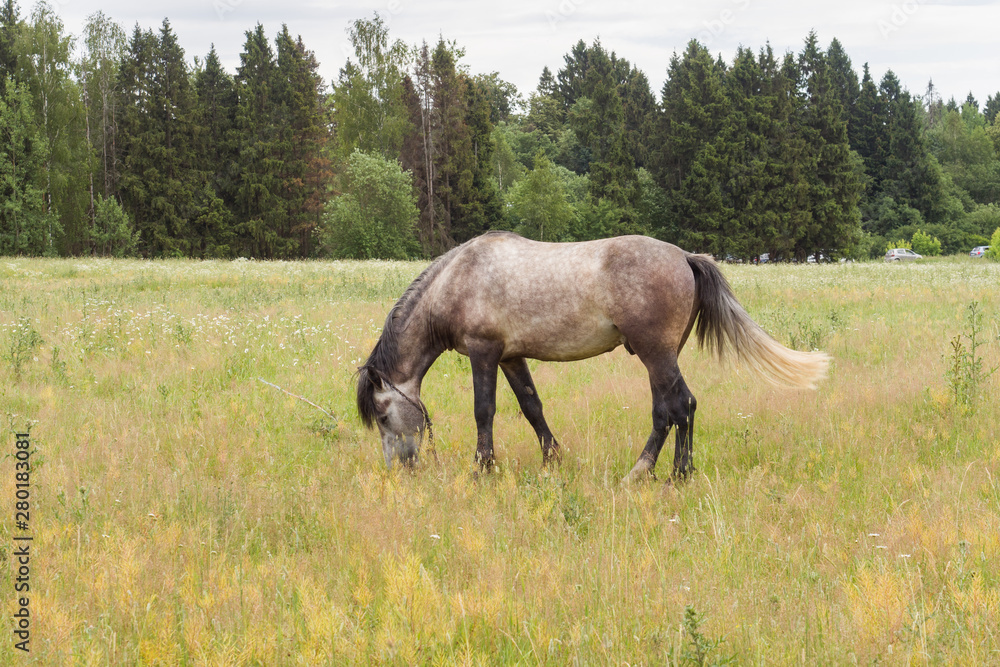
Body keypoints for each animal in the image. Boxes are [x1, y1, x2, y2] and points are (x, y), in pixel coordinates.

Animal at [358, 232, 828, 482]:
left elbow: (484, 410)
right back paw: (659, 472)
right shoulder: (511, 358)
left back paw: (661, 474)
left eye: (382, 415)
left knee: (678, 406)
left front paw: (483, 468)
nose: (399, 468)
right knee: (671, 409)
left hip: (656, 354)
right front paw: (553, 458)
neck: (459, 278)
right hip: (662, 357)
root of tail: (685, 257)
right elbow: (531, 406)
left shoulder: (484, 352)